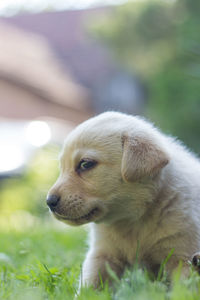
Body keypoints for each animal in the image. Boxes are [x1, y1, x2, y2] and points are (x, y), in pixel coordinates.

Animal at [46, 112, 200, 288]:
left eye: (85, 164)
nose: (49, 202)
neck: (132, 220)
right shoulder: (102, 254)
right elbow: (91, 284)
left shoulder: (183, 254)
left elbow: (184, 287)